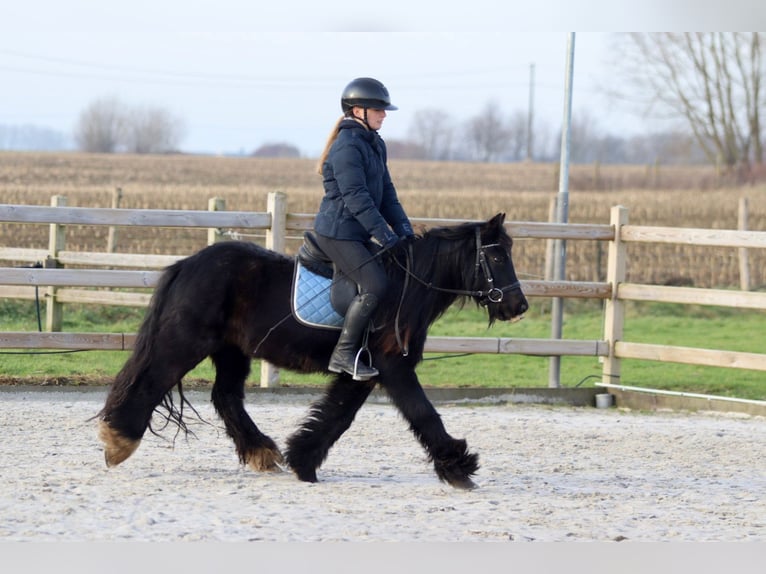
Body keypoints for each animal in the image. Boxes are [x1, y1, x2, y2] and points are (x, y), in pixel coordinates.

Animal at [97, 214, 528, 492]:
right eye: (496, 256)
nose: (518, 306)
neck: (408, 286)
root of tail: (186, 265)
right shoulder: (393, 366)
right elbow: (422, 412)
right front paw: (459, 467)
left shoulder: (361, 371)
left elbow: (337, 416)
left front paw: (303, 460)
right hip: (187, 341)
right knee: (152, 381)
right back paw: (118, 440)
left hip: (231, 350)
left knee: (226, 397)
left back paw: (262, 451)